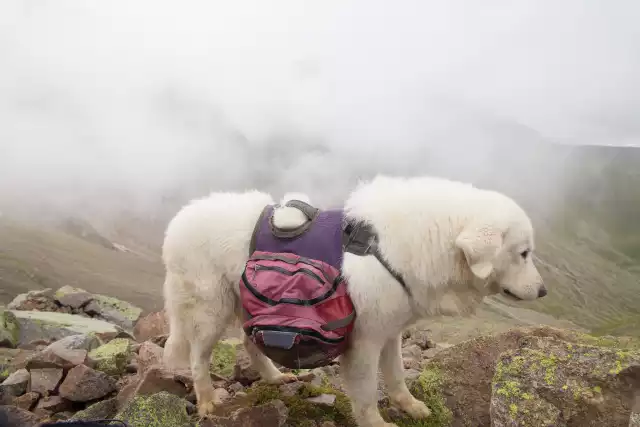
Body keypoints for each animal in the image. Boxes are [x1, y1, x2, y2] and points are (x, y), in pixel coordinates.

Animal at [161, 175, 544, 427]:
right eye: (523, 253)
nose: (543, 292)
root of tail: (178, 221)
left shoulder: (390, 332)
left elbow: (396, 376)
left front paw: (410, 406)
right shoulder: (364, 341)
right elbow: (366, 394)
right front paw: (377, 423)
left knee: (248, 341)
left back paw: (273, 377)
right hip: (210, 311)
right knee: (198, 358)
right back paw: (207, 401)